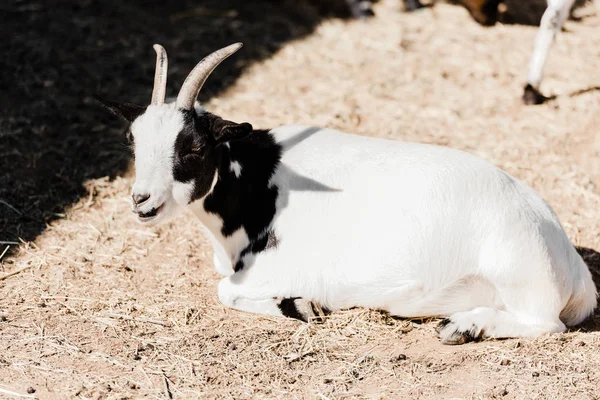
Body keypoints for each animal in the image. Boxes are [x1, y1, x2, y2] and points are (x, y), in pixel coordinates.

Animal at [98, 43, 596, 344]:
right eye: (132, 141)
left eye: (195, 147)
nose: (141, 200)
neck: (260, 181)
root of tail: (571, 264)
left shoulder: (276, 267)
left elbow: (226, 290)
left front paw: (301, 305)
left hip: (518, 272)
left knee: (547, 324)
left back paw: (463, 326)